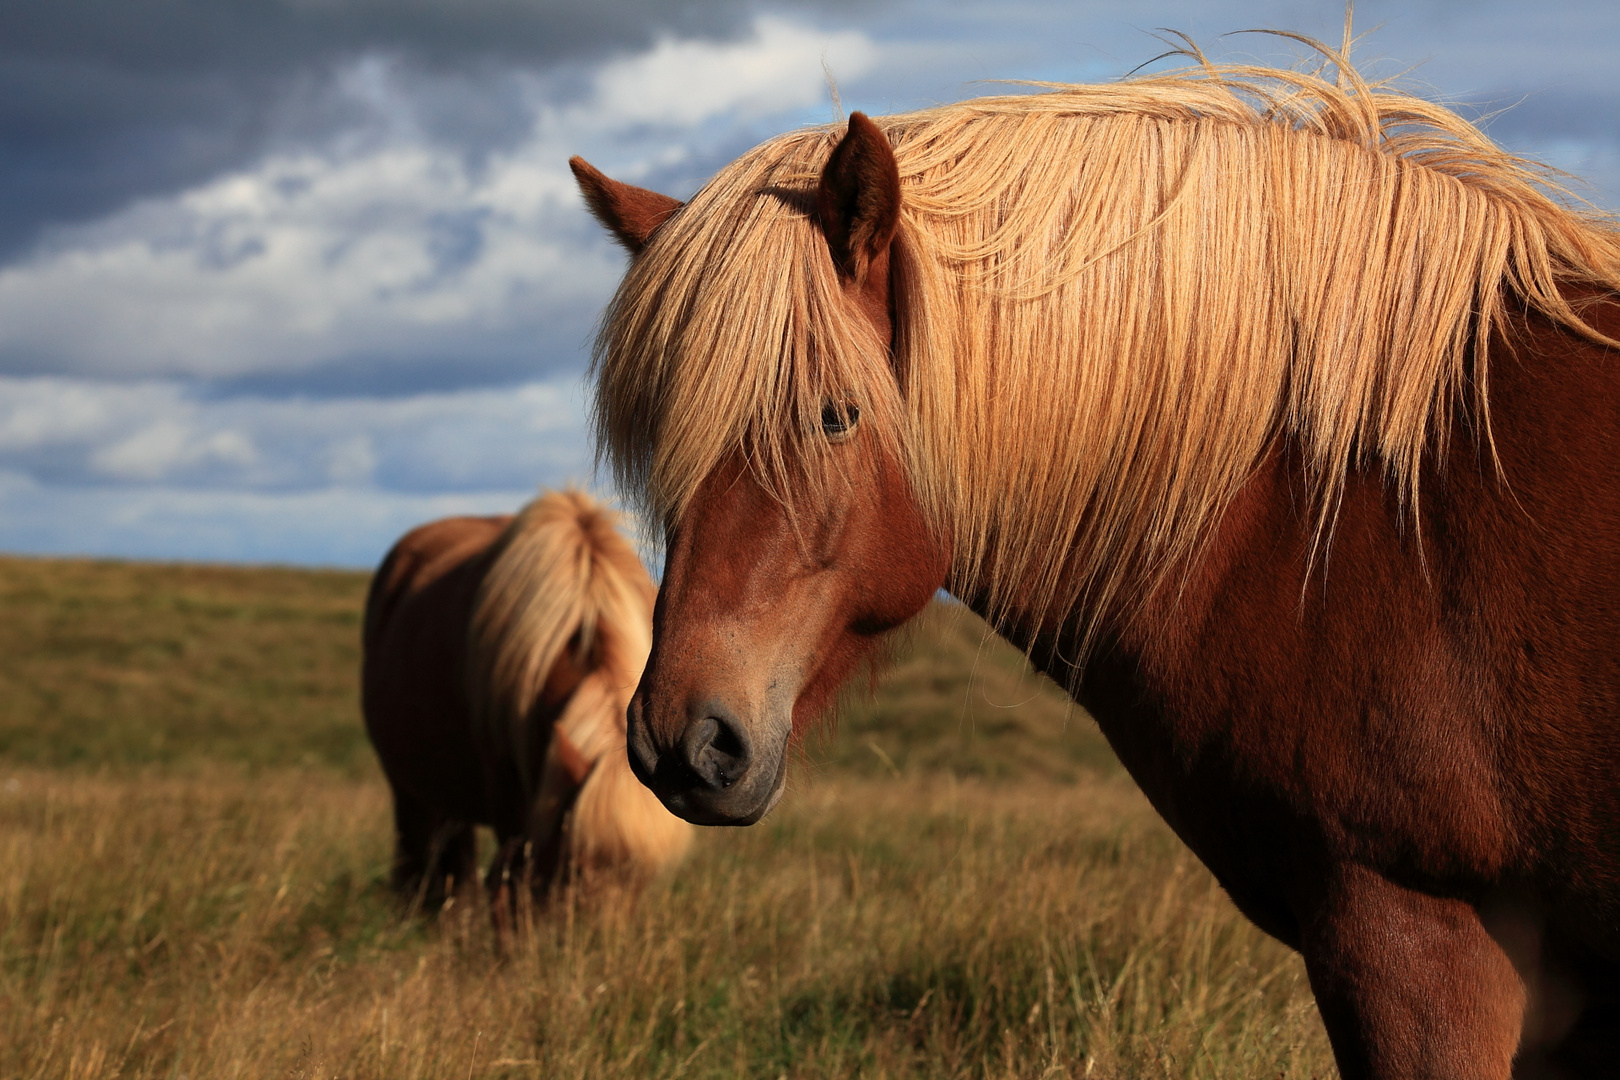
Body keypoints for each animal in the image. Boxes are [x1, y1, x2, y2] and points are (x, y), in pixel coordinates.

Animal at [361, 488, 690, 913]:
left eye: (642, 883)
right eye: (576, 869)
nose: (597, 935)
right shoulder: (511, 806)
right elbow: (507, 889)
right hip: (409, 790)